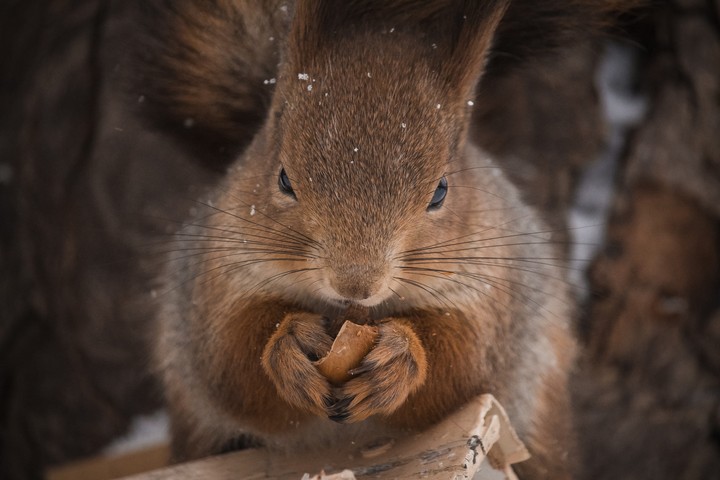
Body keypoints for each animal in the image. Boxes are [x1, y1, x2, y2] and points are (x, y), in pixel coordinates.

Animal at [137, 1, 636, 477]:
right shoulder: (211, 284)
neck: (350, 313)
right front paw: (289, 343)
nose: (355, 284)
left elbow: (465, 370)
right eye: (282, 179)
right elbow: (229, 362)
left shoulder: (496, 302)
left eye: (441, 191)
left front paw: (400, 360)